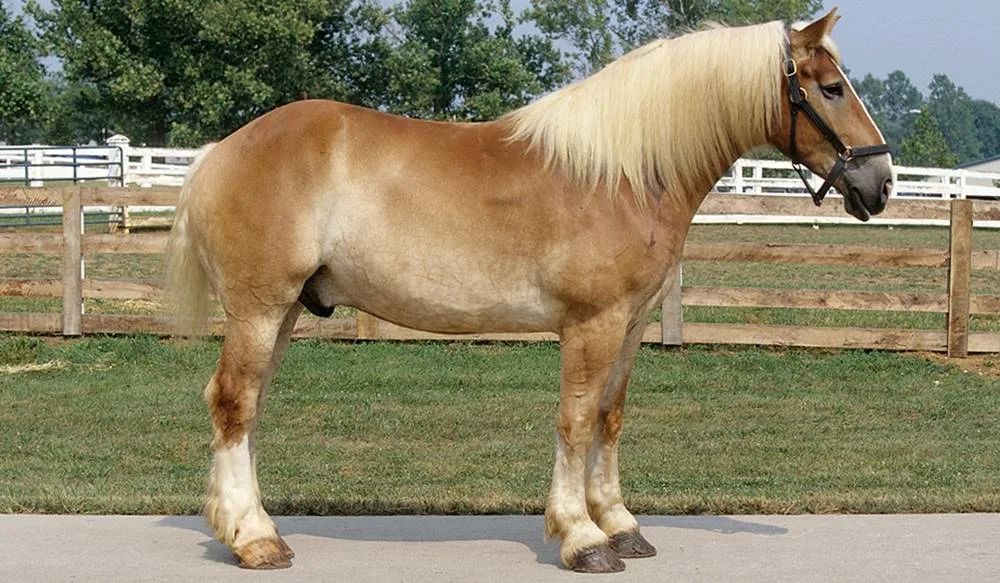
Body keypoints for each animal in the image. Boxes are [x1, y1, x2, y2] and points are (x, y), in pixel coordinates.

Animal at [167, 8, 892, 574]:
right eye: (831, 89)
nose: (880, 182)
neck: (623, 174)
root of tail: (218, 151)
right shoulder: (592, 325)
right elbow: (575, 420)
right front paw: (582, 536)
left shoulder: (630, 324)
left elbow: (609, 417)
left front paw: (622, 525)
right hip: (260, 309)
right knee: (233, 404)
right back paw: (254, 540)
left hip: (285, 311)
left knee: (249, 407)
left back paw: (251, 527)